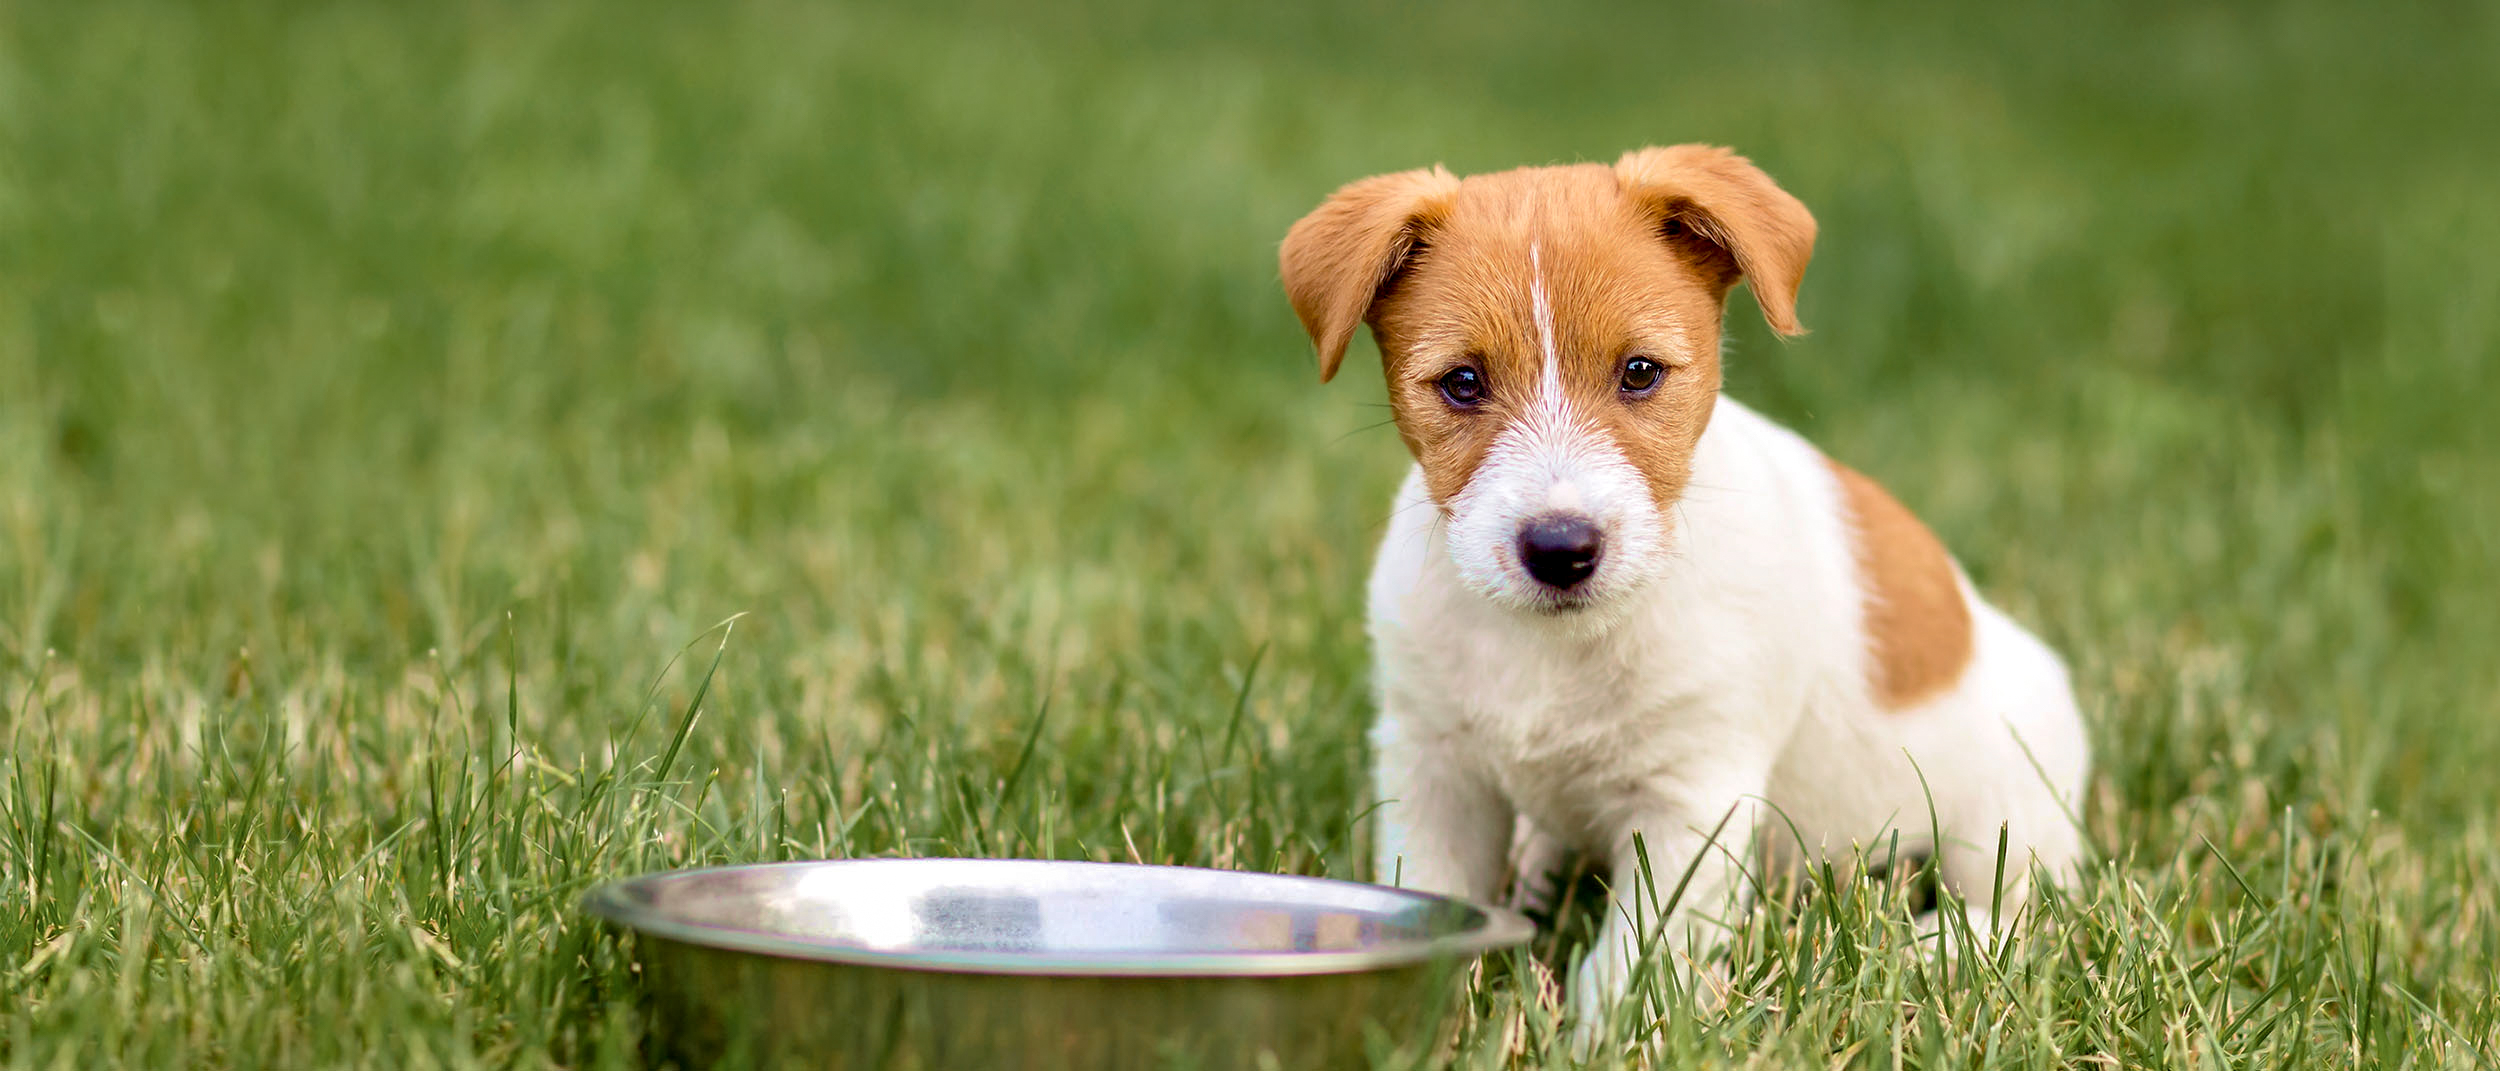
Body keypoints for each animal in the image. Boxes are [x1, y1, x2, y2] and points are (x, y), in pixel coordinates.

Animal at [1280, 144, 2080, 1030]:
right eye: (1461, 382)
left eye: (1639, 373)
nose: (1560, 547)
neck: (1555, 645)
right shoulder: (1434, 770)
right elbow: (1437, 892)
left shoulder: (1691, 801)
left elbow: (1633, 960)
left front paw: (1600, 1035)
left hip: (2011, 807)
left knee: (2024, 907)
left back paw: (1937, 944)